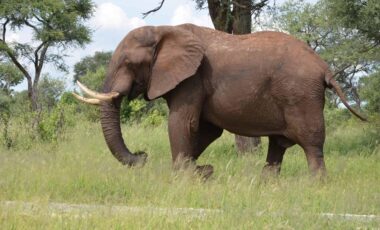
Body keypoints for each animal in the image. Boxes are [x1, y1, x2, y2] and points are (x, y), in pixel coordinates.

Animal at [72, 23, 366, 178]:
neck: (165, 30)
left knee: (311, 143)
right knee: (278, 145)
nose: (142, 155)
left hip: (301, 95)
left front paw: (184, 177)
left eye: (128, 63)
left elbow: (183, 123)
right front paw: (198, 172)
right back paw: (267, 186)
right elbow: (206, 130)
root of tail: (324, 67)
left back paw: (315, 185)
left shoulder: (193, 78)